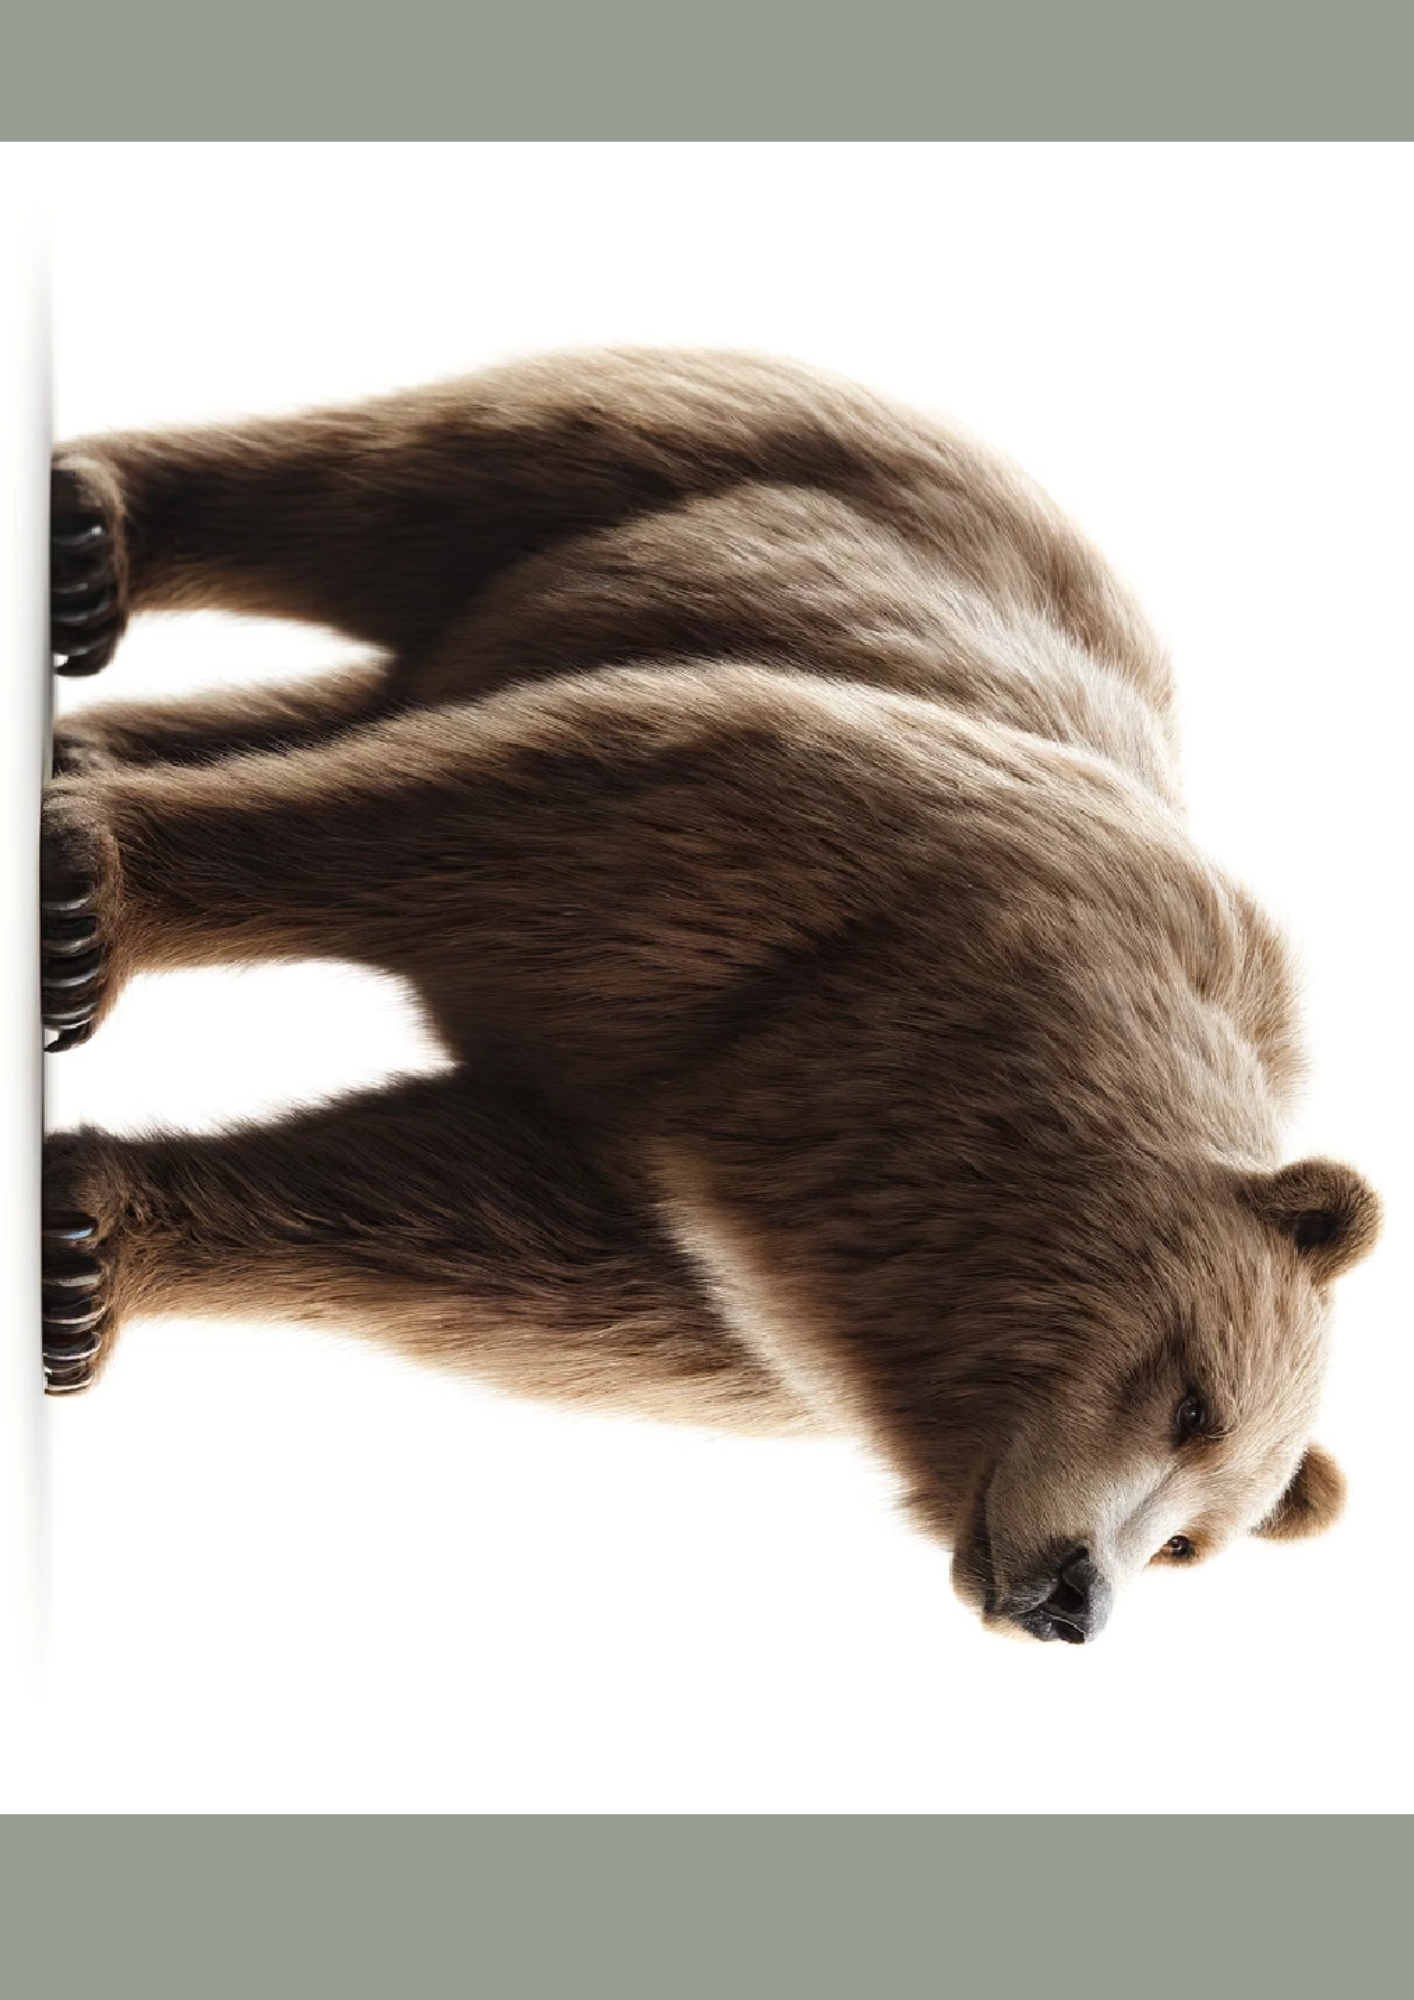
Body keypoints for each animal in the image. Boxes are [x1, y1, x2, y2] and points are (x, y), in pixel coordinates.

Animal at [41, 346, 1380, 1643]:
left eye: (1194, 1542)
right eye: (1193, 1400)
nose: (1073, 1598)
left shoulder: (700, 1242)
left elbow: (457, 1227)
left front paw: (86, 1263)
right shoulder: (808, 877)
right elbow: (493, 820)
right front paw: (89, 907)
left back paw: (85, 739)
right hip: (744, 472)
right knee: (410, 480)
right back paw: (94, 543)